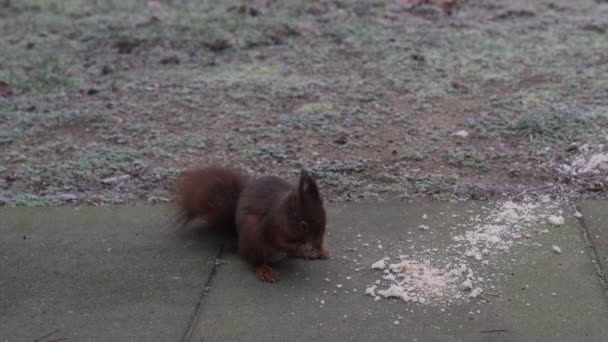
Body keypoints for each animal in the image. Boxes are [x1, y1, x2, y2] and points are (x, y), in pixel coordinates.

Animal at [173, 167, 330, 282]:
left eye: (325, 218)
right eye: (303, 225)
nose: (316, 244)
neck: (285, 214)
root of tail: (239, 243)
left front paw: (319, 250)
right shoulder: (272, 225)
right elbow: (278, 241)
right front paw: (302, 247)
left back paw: (308, 254)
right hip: (252, 236)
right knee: (255, 261)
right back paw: (265, 270)